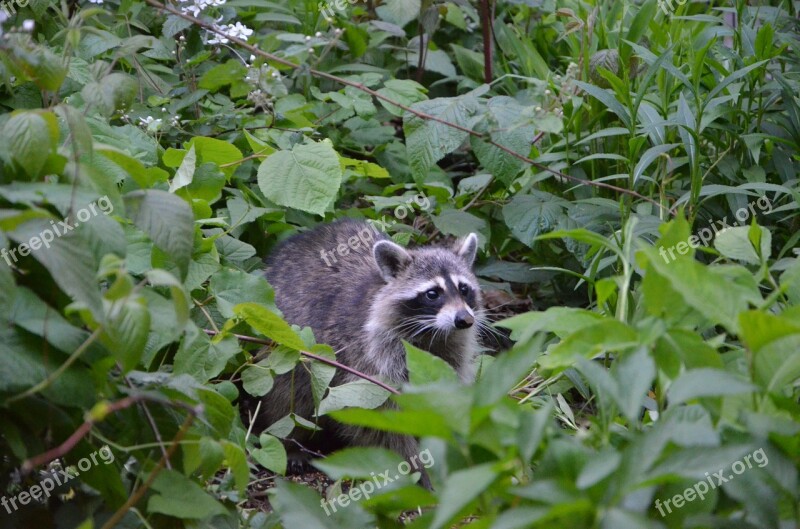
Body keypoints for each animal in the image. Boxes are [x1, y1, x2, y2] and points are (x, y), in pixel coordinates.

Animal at [253, 217, 484, 484]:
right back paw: (292, 444)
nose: (464, 320)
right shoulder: (367, 360)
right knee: (288, 398)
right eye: (432, 294)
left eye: (464, 289)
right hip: (284, 342)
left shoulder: (449, 355)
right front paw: (417, 470)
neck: (431, 334)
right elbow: (379, 422)